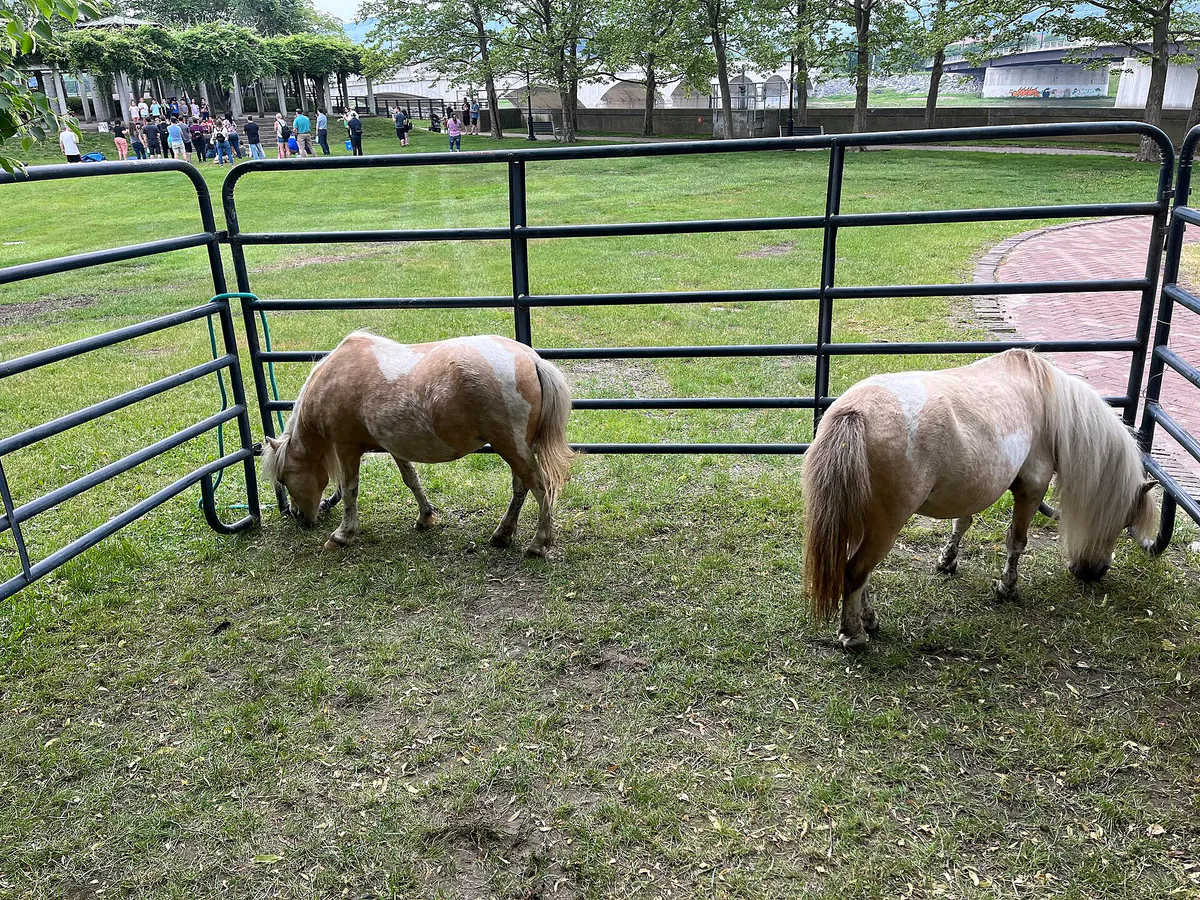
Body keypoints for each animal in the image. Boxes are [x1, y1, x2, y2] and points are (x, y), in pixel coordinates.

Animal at [262, 332, 574, 556]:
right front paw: (425, 518)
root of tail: (531, 360)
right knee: (522, 487)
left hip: (511, 445)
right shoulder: (394, 446)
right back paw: (502, 535)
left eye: (283, 478)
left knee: (540, 486)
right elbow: (411, 479)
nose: (298, 517)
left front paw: (342, 535)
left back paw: (538, 543)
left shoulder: (346, 446)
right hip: (515, 448)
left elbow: (350, 490)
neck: (335, 377)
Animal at [802, 349, 1158, 650]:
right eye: (1122, 522)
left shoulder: (976, 487)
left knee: (856, 570)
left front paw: (947, 561)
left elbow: (963, 521)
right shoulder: (1032, 487)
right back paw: (854, 635)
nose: (1092, 573)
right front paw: (1007, 588)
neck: (1049, 404)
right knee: (856, 571)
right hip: (885, 525)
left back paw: (869, 620)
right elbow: (1017, 541)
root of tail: (856, 412)